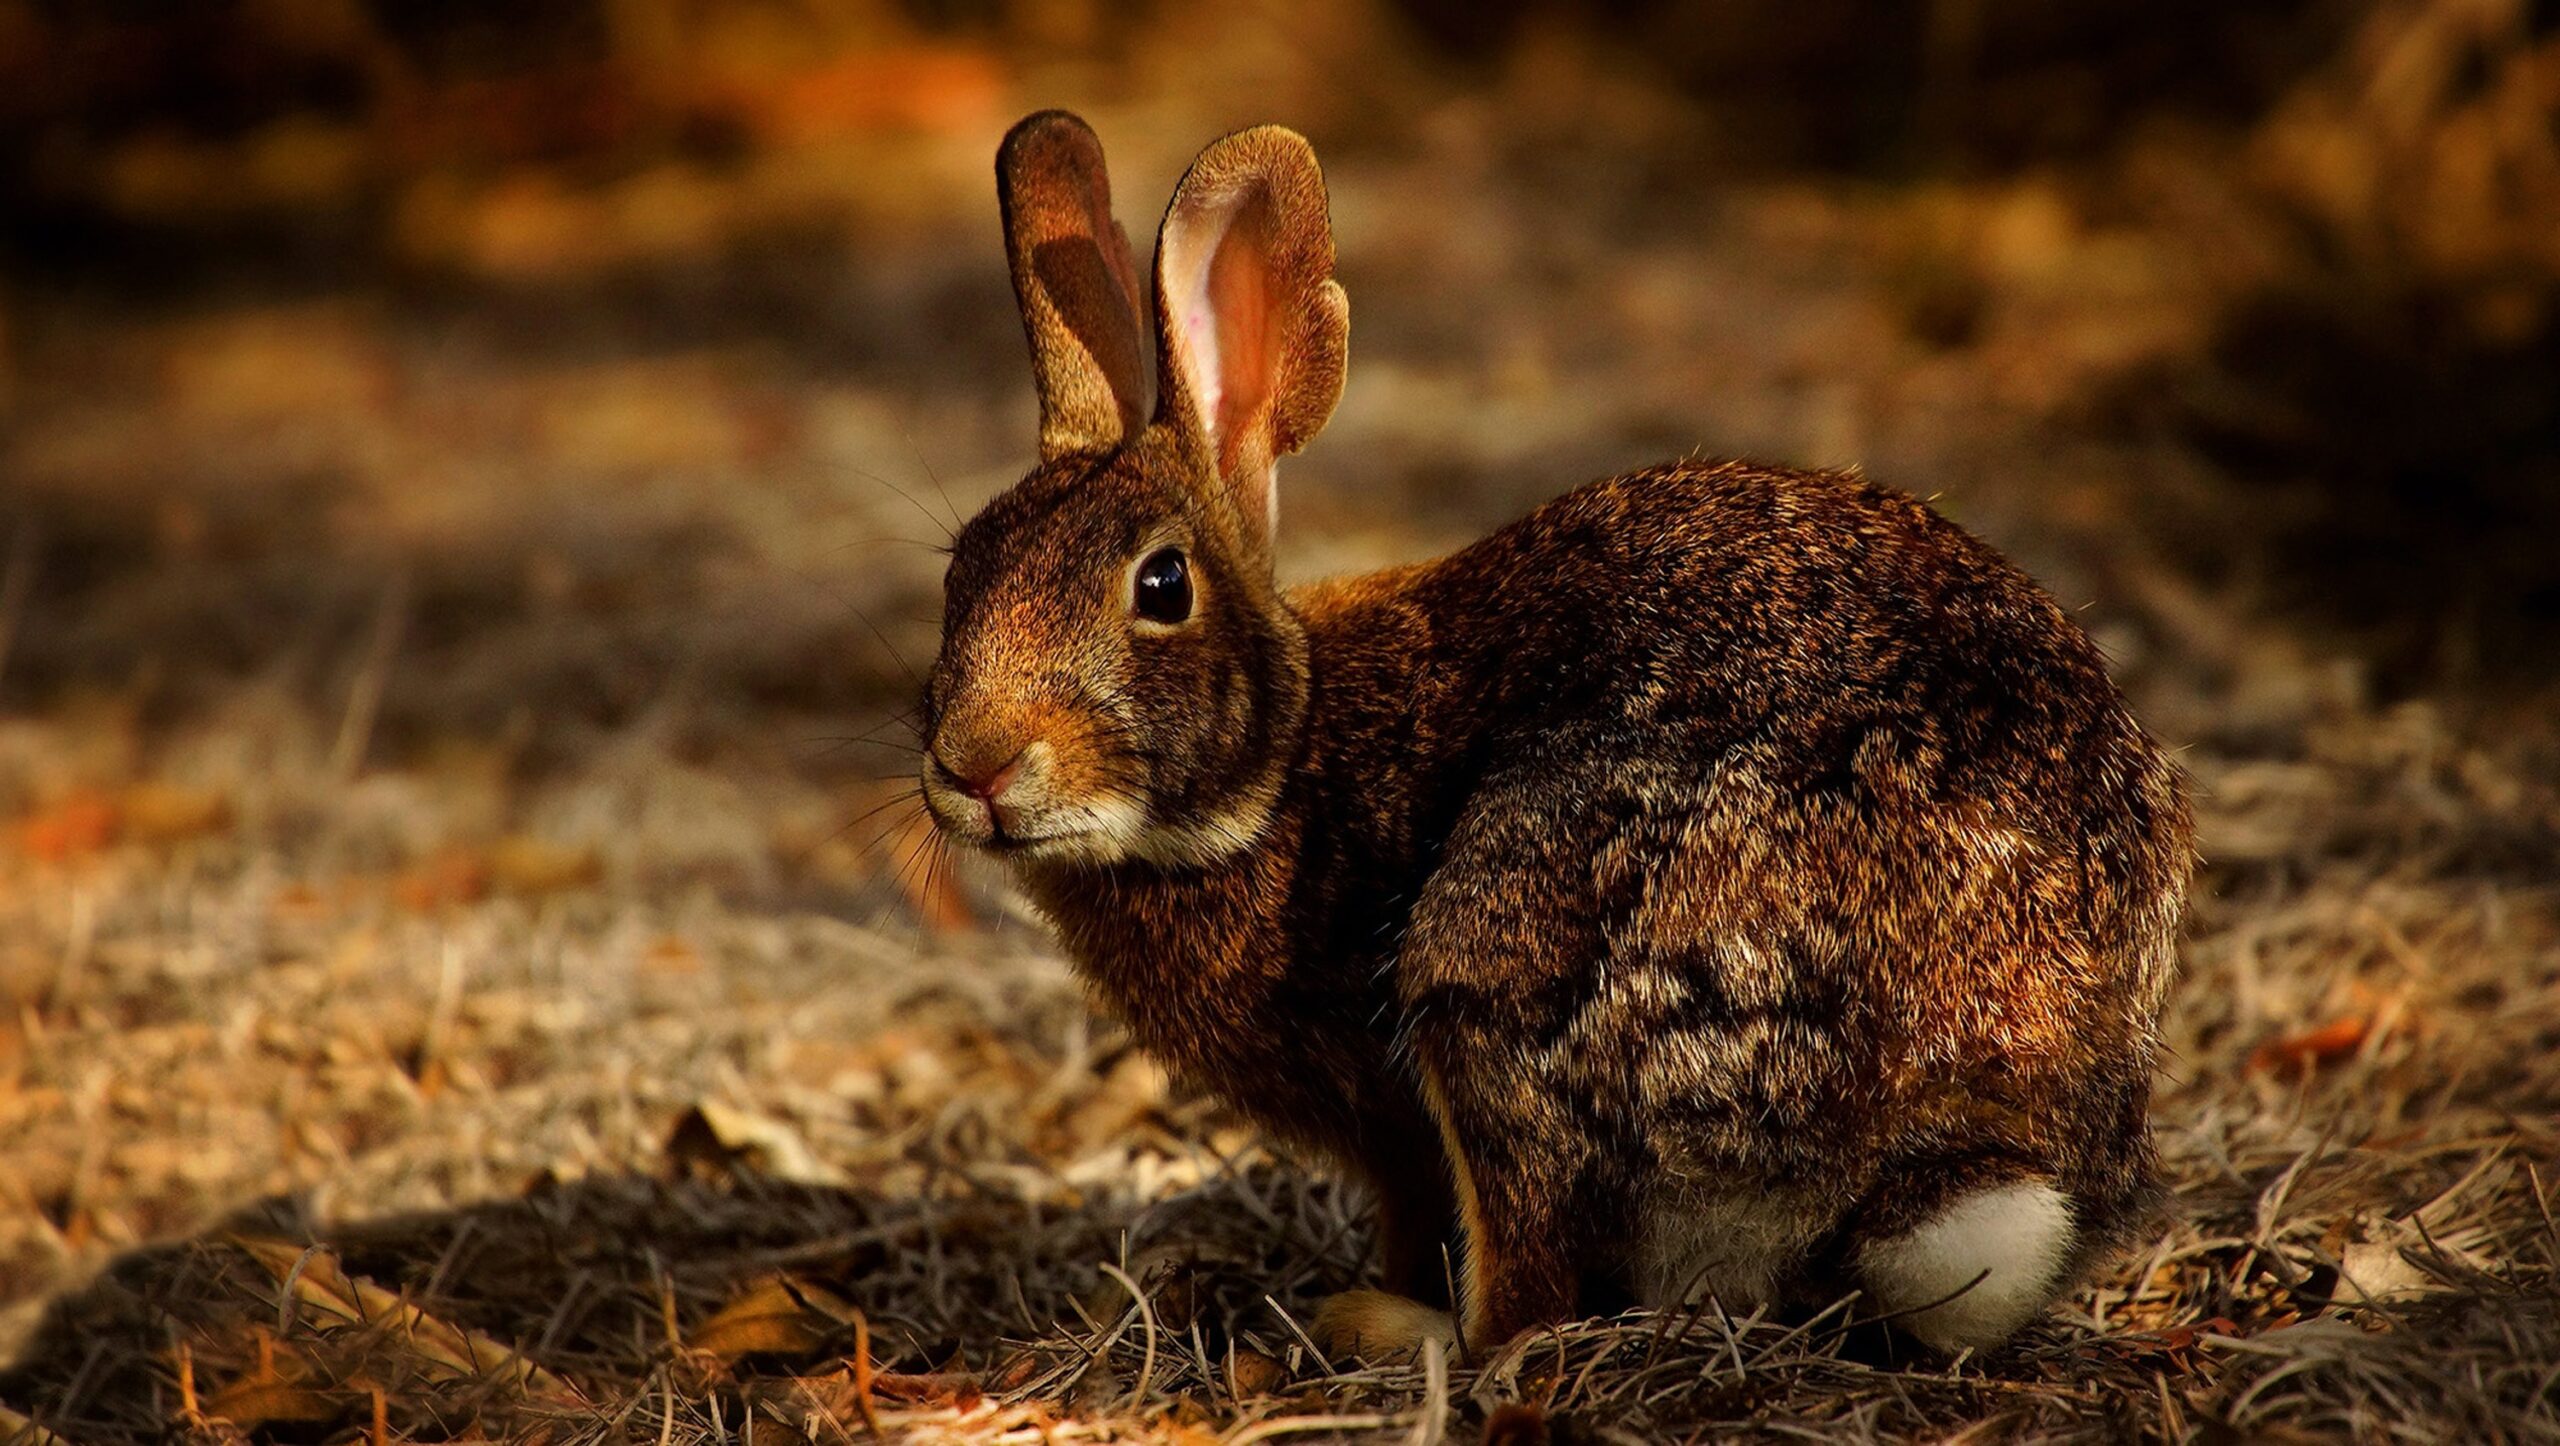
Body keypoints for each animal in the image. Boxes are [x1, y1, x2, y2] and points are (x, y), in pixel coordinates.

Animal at [921, 110, 2201, 1351]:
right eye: (960, 571)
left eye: (1162, 586)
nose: (973, 768)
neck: (1282, 769)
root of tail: (1961, 1113)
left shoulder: (1398, 1126)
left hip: (1496, 958)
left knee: (1525, 1300)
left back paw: (1382, 1326)